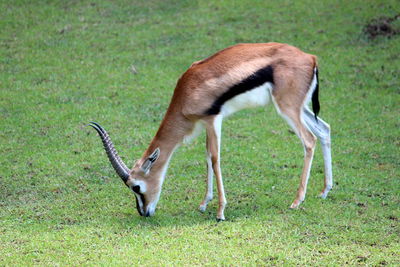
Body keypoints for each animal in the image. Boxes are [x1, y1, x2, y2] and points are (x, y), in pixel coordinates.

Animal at [89, 42, 332, 222]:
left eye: (136, 186)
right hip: (299, 108)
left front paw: (220, 212)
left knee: (309, 140)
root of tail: (310, 58)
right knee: (324, 130)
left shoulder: (213, 118)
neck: (188, 90)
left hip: (287, 108)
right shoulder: (206, 123)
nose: (144, 212)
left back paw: (297, 201)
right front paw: (204, 204)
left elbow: (215, 159)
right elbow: (206, 157)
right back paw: (324, 191)